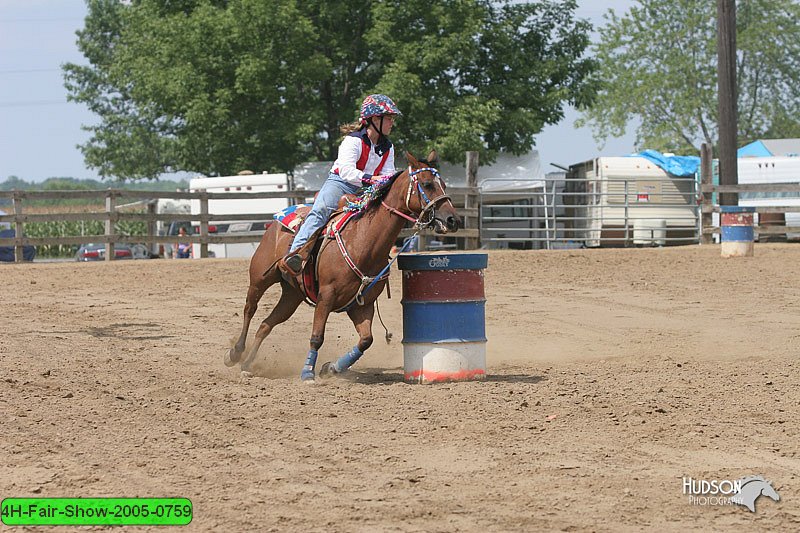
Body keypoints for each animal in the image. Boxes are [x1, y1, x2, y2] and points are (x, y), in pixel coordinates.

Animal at [225, 150, 462, 380]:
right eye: (427, 184)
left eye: (444, 184)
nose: (453, 220)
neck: (363, 240)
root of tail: (277, 219)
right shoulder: (326, 296)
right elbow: (317, 337)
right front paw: (307, 372)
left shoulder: (362, 305)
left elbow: (366, 340)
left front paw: (331, 368)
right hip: (260, 278)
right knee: (250, 308)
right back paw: (235, 353)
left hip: (292, 295)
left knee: (266, 324)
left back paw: (247, 364)